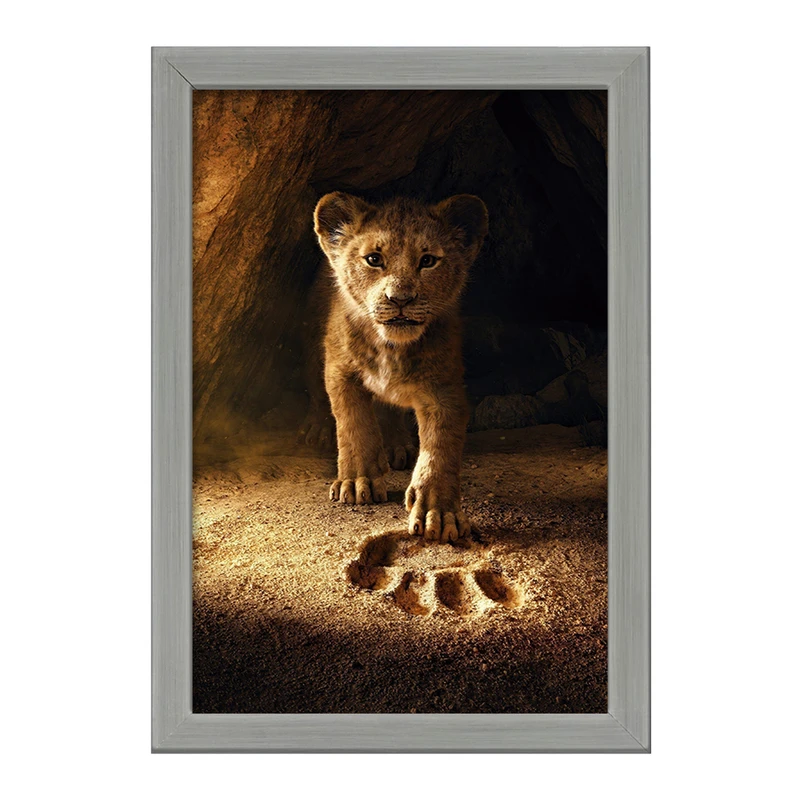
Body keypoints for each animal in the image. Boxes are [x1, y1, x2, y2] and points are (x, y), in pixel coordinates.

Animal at [312, 192, 489, 543]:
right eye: (373, 259)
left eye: (428, 260)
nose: (400, 299)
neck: (391, 348)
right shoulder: (340, 371)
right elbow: (354, 425)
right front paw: (358, 481)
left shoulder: (444, 389)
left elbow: (440, 448)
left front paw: (439, 512)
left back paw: (397, 447)